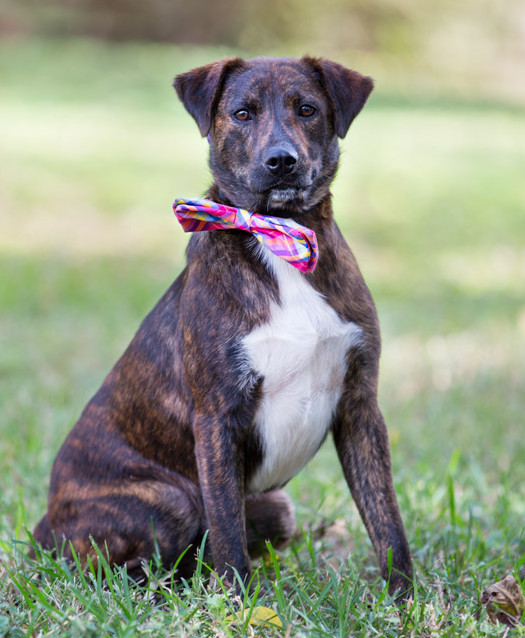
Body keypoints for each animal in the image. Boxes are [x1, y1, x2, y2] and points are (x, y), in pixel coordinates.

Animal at [33, 55, 414, 600]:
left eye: (307, 109)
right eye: (241, 113)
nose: (282, 161)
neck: (276, 236)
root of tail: (43, 526)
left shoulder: (360, 406)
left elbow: (387, 521)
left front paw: (405, 600)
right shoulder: (217, 416)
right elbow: (227, 530)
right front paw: (242, 604)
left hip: (276, 507)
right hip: (170, 500)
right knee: (124, 570)